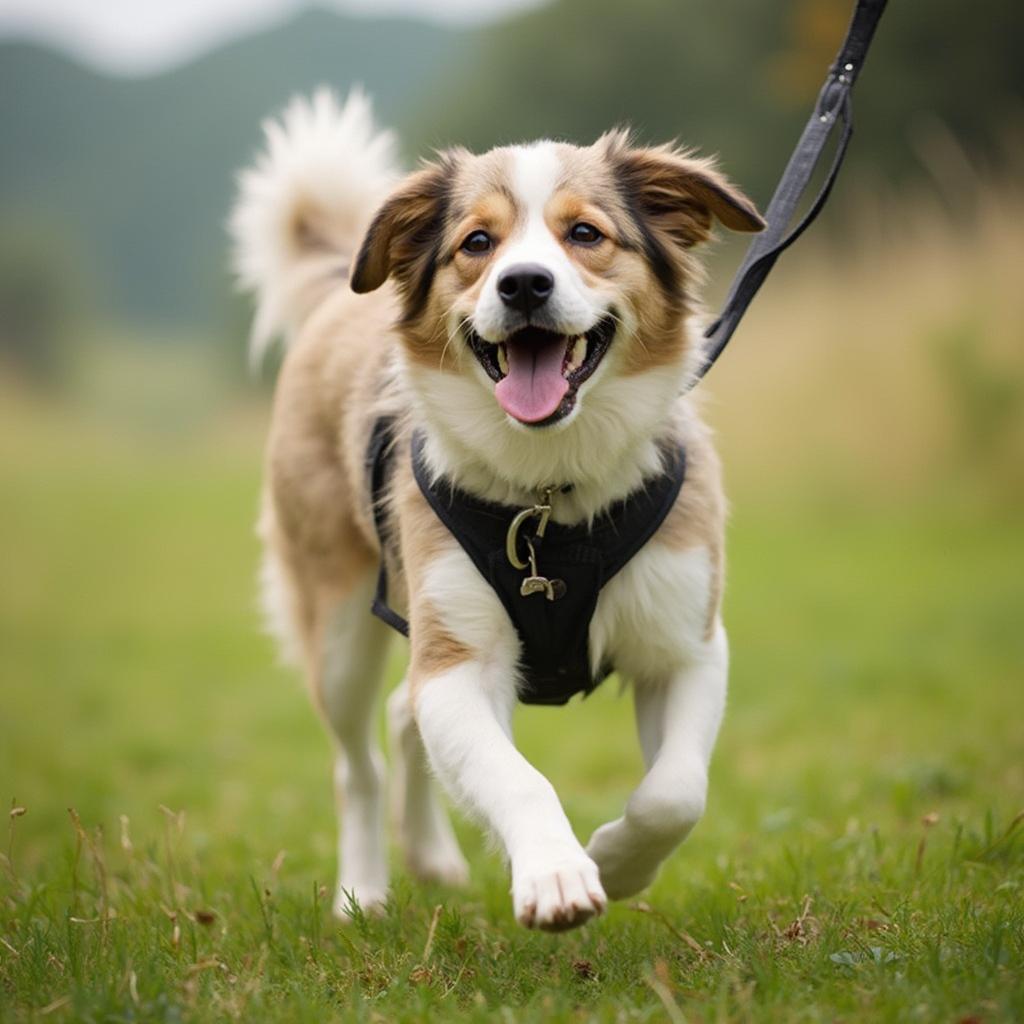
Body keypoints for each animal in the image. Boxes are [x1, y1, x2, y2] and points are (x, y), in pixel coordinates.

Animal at [232, 92, 761, 933]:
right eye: (477, 243)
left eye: (586, 234)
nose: (524, 285)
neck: (551, 488)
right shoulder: (457, 665)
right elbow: (517, 778)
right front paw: (557, 872)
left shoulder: (687, 645)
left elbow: (676, 794)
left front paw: (615, 858)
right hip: (340, 621)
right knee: (359, 760)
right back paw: (363, 892)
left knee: (401, 712)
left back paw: (431, 856)